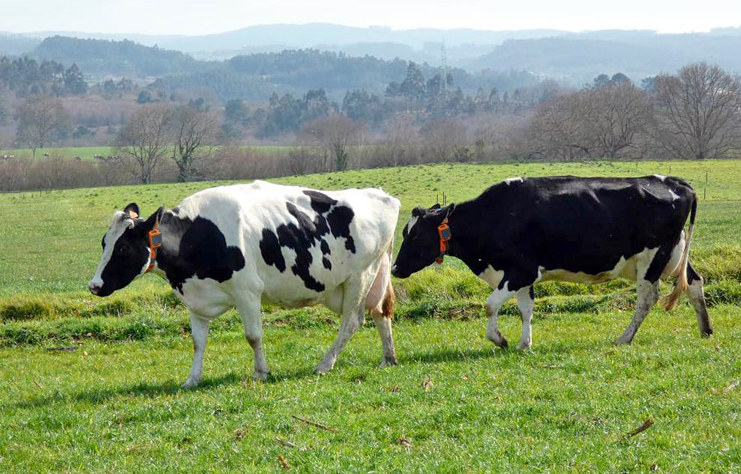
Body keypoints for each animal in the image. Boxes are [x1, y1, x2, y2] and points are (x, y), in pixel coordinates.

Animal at [89, 181, 400, 387]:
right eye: (104, 242)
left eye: (123, 248)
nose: (94, 285)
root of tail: (382, 195)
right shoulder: (196, 300)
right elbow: (198, 342)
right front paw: (193, 378)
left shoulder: (247, 292)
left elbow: (253, 336)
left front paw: (261, 372)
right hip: (377, 274)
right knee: (381, 313)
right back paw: (388, 358)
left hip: (360, 276)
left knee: (352, 321)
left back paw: (325, 364)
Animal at [391, 175, 712, 349]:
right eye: (405, 232)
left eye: (416, 235)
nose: (394, 268)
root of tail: (674, 182)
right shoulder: (522, 276)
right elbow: (526, 309)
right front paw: (524, 343)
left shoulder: (520, 270)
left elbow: (491, 305)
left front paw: (500, 339)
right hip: (674, 254)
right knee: (695, 283)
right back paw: (706, 330)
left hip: (653, 258)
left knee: (647, 299)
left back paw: (624, 338)